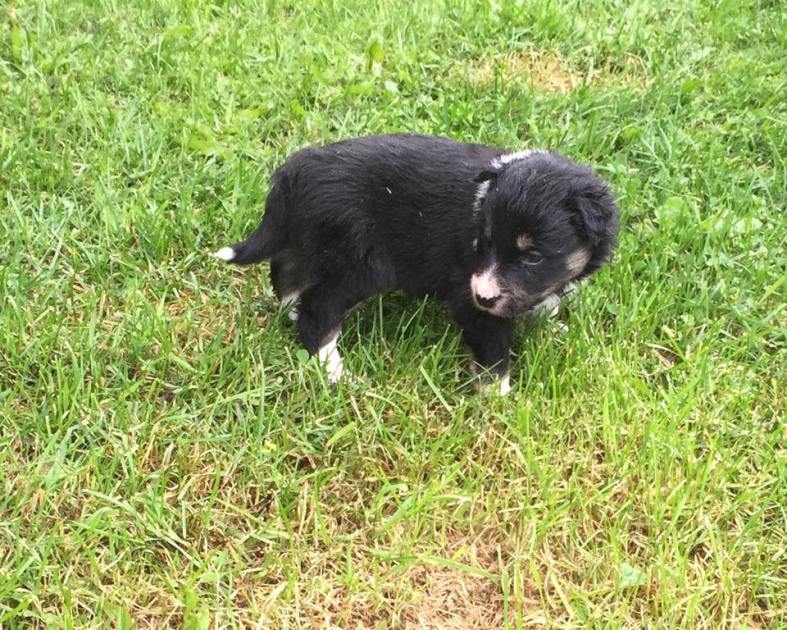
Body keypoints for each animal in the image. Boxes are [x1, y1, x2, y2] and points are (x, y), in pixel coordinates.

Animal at [214, 134, 619, 394]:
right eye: (484, 242)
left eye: (533, 257)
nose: (484, 296)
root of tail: (295, 170)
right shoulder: (470, 299)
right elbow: (493, 354)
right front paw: (500, 400)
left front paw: (552, 325)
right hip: (361, 264)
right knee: (319, 311)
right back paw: (336, 373)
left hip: (306, 243)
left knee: (287, 277)